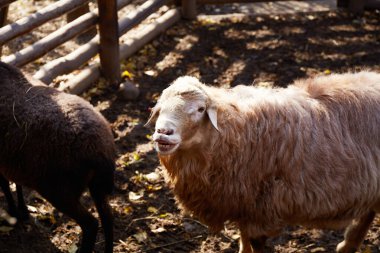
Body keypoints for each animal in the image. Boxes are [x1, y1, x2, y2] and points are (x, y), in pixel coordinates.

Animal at [0, 61, 116, 253]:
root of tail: (100, 151)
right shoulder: (13, 161)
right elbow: (15, 184)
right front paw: (22, 211)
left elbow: (5, 184)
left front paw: (15, 213)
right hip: (96, 185)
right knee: (108, 217)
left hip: (59, 190)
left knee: (91, 224)